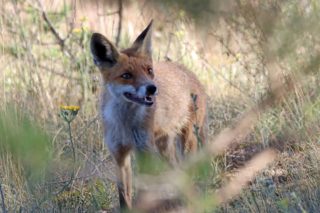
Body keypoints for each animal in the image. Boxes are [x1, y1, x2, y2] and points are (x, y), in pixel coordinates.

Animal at [89, 20, 208, 209]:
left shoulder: (144, 151)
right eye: (126, 75)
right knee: (177, 171)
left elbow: (142, 191)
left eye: (149, 70)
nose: (152, 88)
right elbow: (124, 195)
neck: (126, 123)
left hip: (186, 140)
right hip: (164, 147)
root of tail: (188, 71)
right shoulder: (119, 154)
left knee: (187, 170)